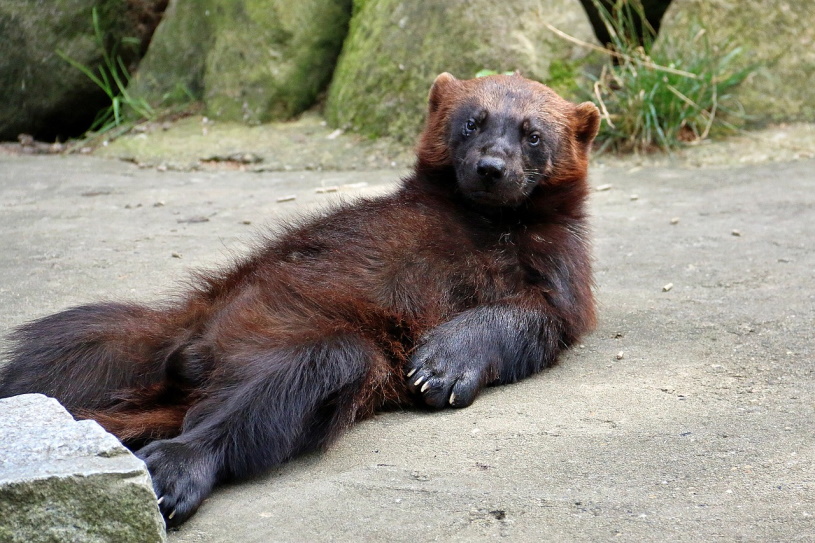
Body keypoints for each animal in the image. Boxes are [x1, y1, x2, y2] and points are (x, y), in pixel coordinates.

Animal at [0, 73, 600, 528]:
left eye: (533, 134)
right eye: (472, 121)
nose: (491, 167)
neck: (484, 222)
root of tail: (187, 361)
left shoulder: (559, 271)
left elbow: (532, 318)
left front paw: (443, 365)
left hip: (324, 346)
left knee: (278, 386)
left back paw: (174, 469)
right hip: (128, 335)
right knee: (51, 357)